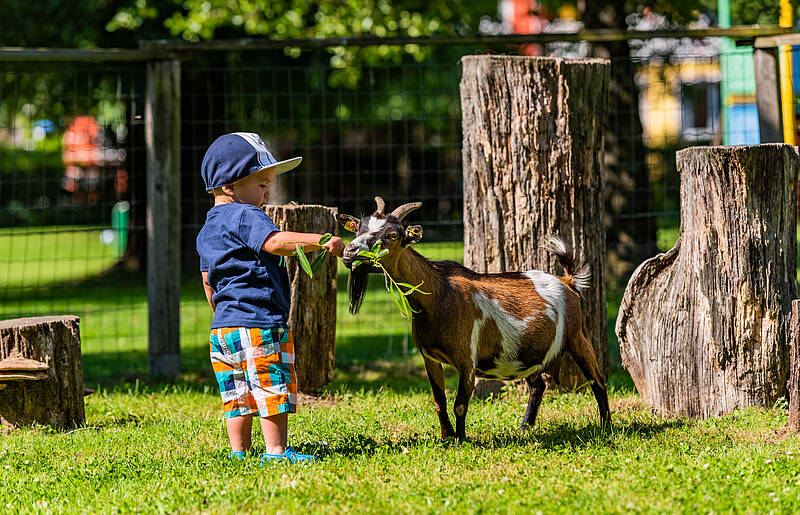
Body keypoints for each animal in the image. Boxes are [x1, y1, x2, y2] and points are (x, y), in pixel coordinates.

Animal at [336, 198, 608, 444]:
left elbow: (460, 404)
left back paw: (606, 426)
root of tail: (568, 281)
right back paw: (524, 428)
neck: (437, 294)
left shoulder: (467, 358)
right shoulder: (430, 357)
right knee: (538, 386)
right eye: (358, 227)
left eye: (392, 235)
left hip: (578, 336)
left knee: (598, 380)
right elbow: (439, 401)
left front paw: (461, 439)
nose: (350, 252)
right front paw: (446, 437)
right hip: (529, 353)